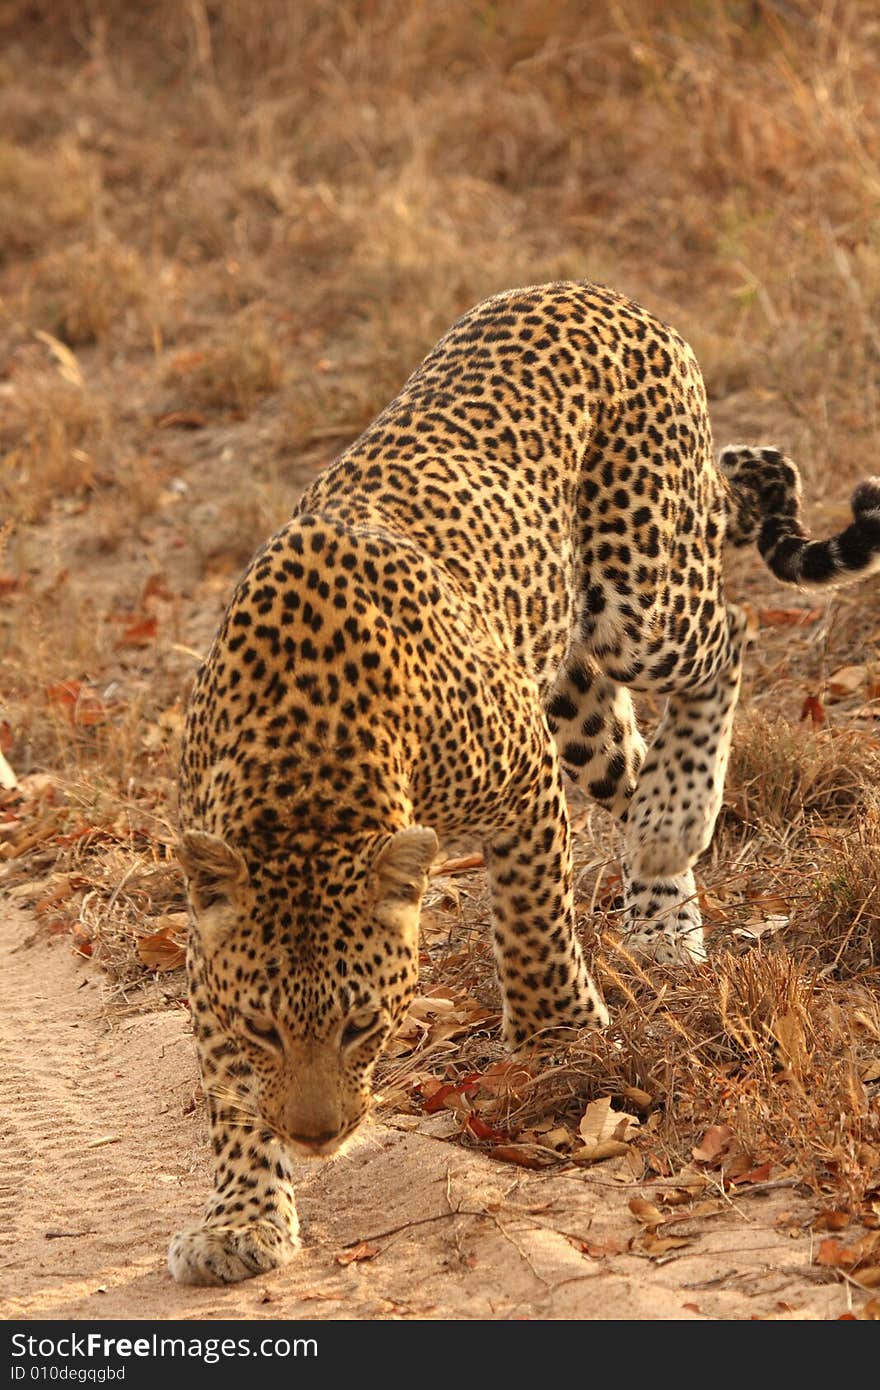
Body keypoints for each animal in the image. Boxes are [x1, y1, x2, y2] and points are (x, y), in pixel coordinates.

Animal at [168, 282, 878, 1289]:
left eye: (360, 1027)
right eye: (265, 1029)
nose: (315, 1136)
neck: (307, 781)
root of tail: (598, 292)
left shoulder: (524, 778)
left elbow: (534, 922)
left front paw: (560, 1037)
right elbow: (227, 1089)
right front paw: (242, 1218)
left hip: (641, 596)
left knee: (729, 630)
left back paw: (673, 821)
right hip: (577, 691)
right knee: (636, 754)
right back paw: (663, 925)